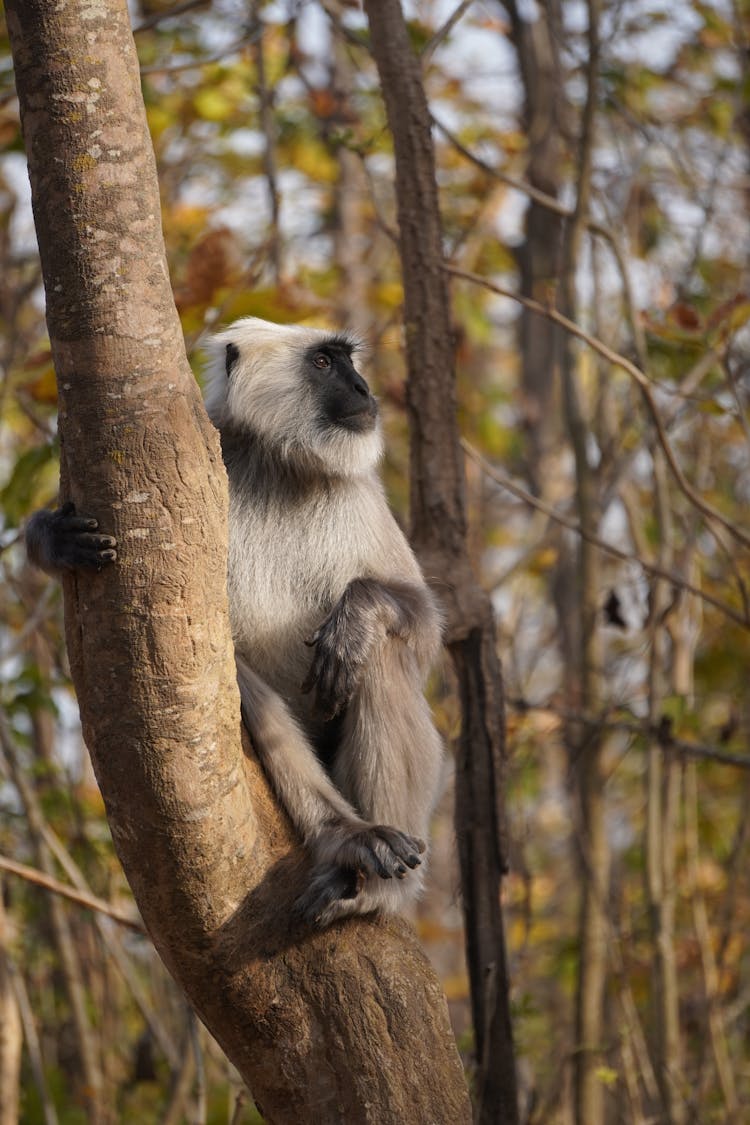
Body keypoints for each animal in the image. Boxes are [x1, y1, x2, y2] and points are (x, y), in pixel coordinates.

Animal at [23, 317, 445, 922]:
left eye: (347, 361)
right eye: (324, 363)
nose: (363, 389)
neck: (277, 465)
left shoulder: (358, 488)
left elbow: (423, 626)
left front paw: (357, 616)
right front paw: (53, 538)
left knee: (379, 654)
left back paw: (377, 887)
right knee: (235, 671)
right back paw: (343, 835)